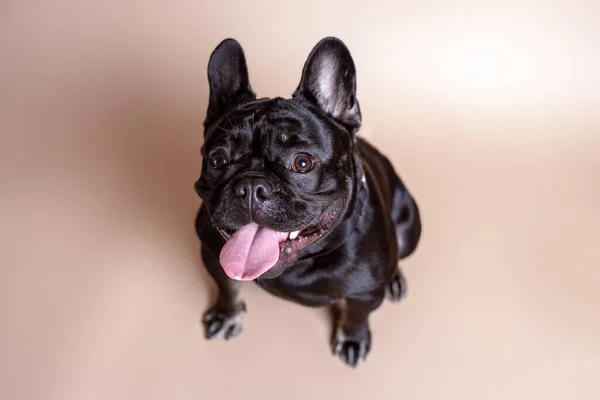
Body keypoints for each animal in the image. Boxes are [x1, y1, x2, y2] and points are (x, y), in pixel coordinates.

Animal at [195, 37, 420, 368]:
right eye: (218, 160)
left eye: (302, 163)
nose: (251, 186)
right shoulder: (213, 254)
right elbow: (227, 286)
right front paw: (227, 314)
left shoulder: (365, 295)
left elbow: (356, 315)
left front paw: (352, 339)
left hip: (410, 226)